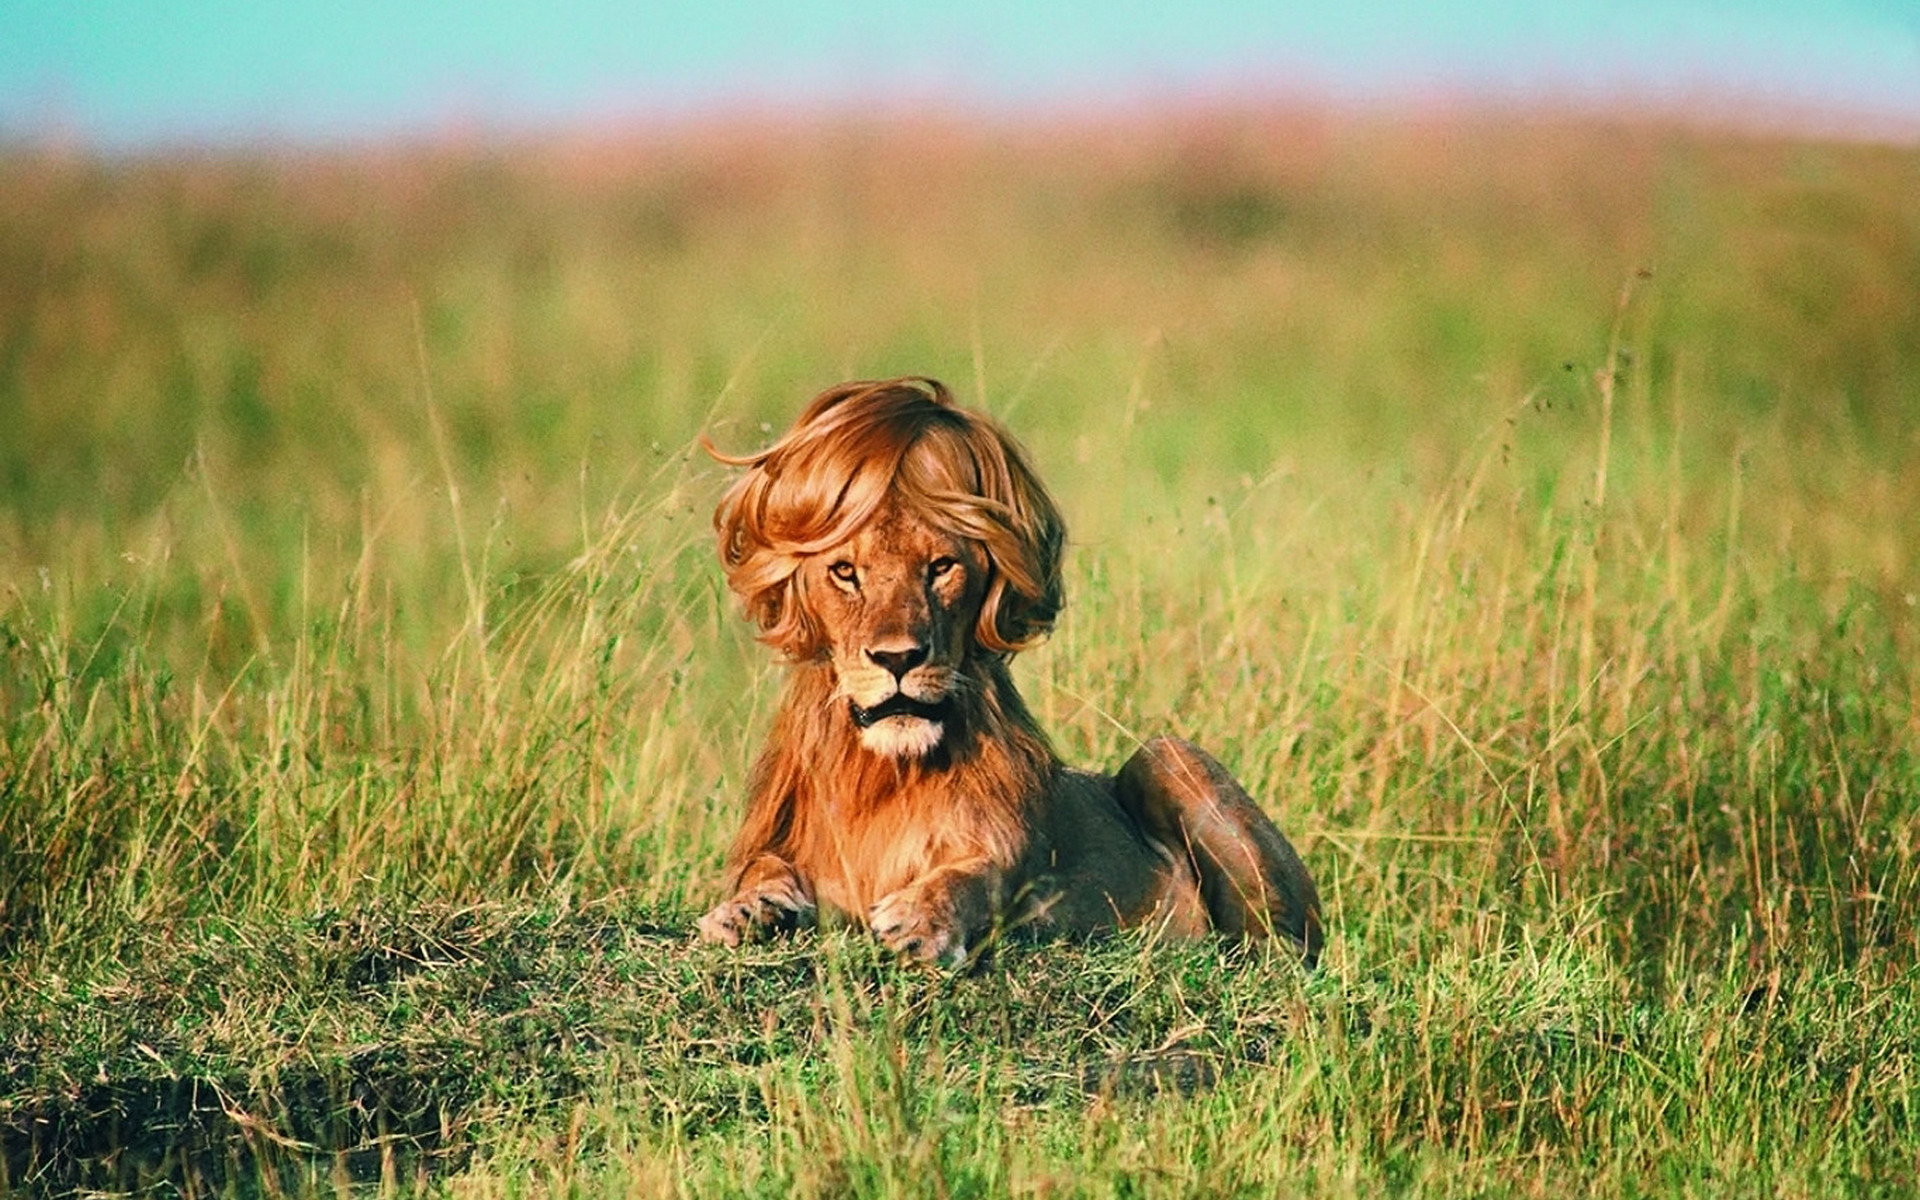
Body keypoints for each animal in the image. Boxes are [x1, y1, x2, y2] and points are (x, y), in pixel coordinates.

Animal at [695, 378, 1320, 967]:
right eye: (845, 572)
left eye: (941, 566)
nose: (898, 659)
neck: (883, 774)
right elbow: (762, 867)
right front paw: (748, 910)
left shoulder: (1020, 863)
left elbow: (978, 874)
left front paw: (922, 920)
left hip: (1168, 754)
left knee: (1282, 947)